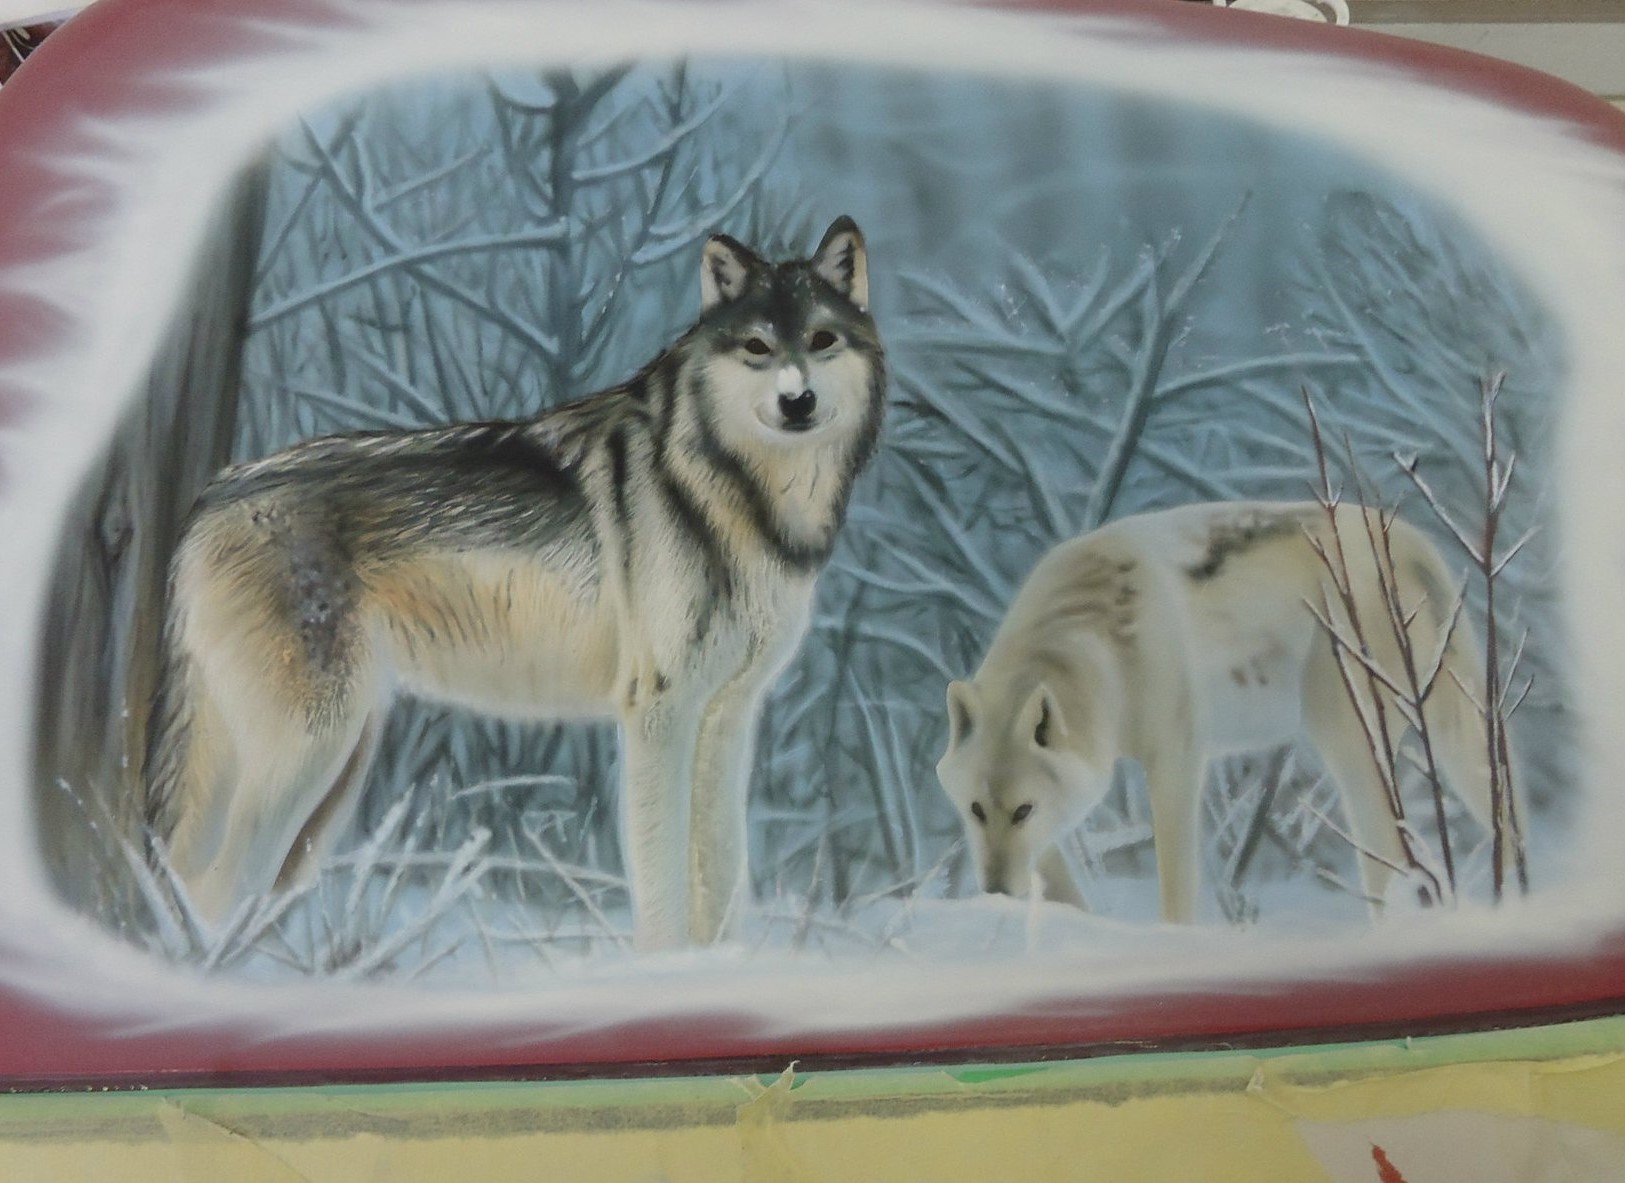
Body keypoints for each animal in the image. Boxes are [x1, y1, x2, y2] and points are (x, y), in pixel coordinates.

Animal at [145, 217, 885, 949]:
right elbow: (664, 884)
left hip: (339, 768)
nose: (797, 400)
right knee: (206, 883)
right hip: (308, 754)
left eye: (820, 339)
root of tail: (210, 497)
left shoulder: (727, 716)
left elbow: (724, 880)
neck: (736, 494)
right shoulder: (660, 713)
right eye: (758, 347)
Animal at [935, 500, 1515, 923]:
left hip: (1350, 742)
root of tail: (1407, 535)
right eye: (976, 811)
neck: (1105, 649)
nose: (994, 891)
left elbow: (1176, 885)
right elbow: (1059, 876)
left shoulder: (1177, 761)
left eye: (1022, 811)